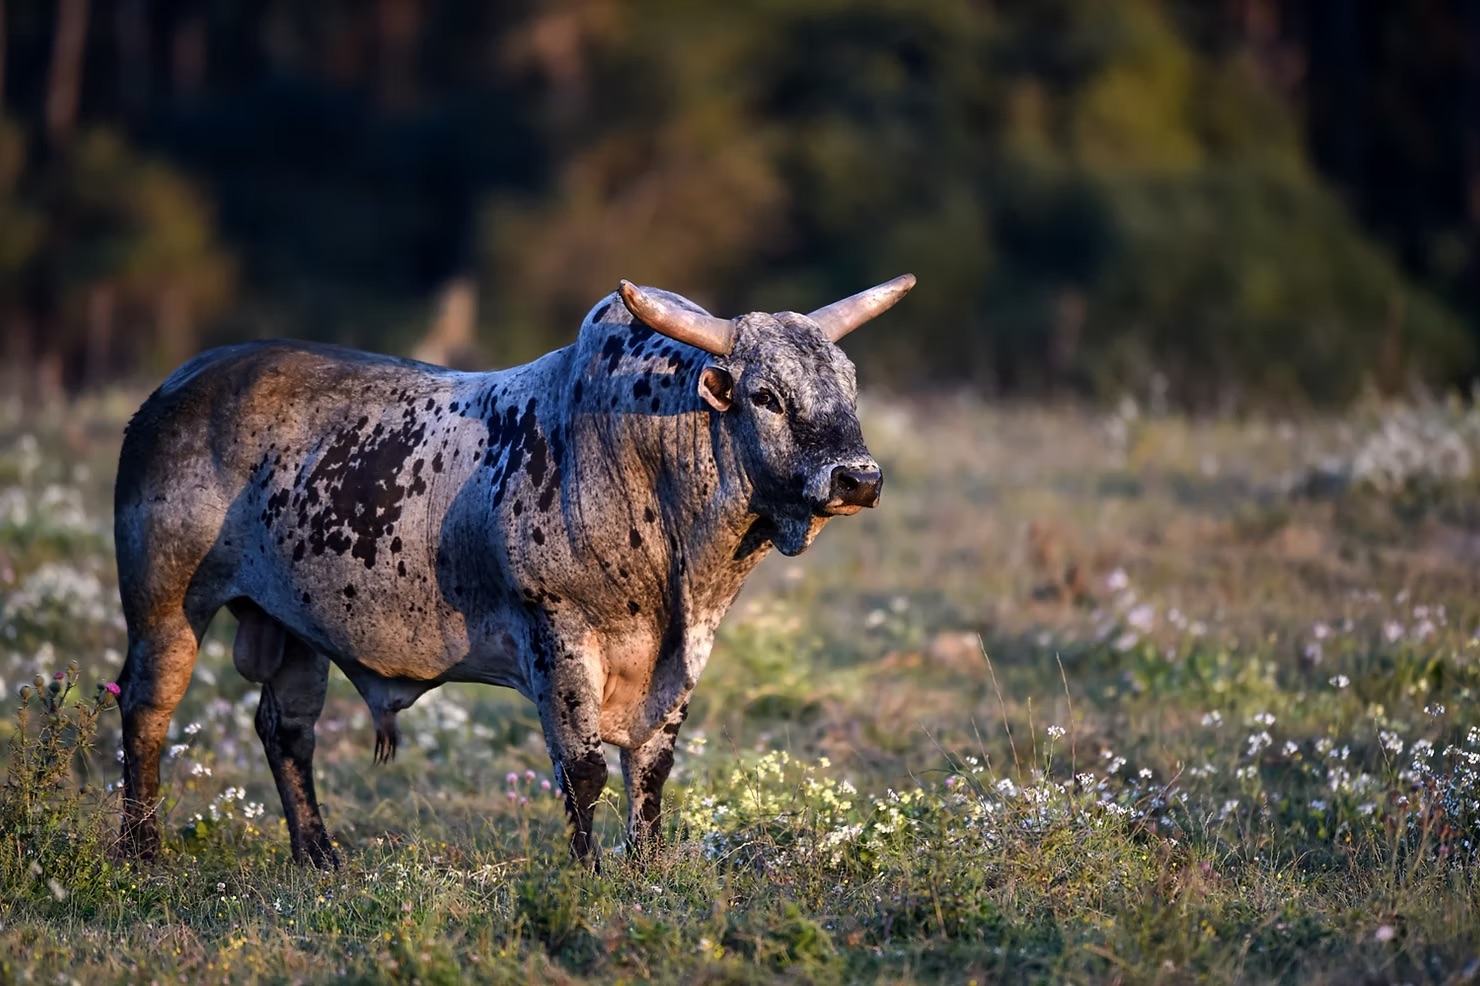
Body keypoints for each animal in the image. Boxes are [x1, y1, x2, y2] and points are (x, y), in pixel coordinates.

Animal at [112, 274, 915, 869]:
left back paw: (319, 857)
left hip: (293, 625)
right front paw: (590, 872)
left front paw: (647, 868)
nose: (859, 478)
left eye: (847, 385)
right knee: (147, 709)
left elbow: (650, 769)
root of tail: (175, 388)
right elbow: (583, 768)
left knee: (287, 729)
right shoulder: (559, 634)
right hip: (164, 604)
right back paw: (143, 851)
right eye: (766, 395)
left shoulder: (682, 658)